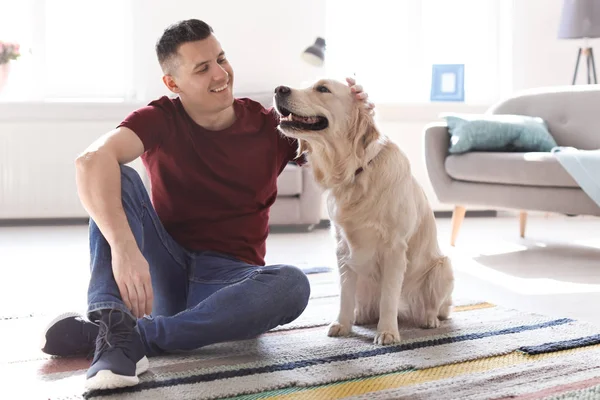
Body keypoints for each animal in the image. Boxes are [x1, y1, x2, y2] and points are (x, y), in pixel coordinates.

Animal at [274, 79, 454, 346]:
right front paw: (342, 324)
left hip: (442, 267)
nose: (279, 89)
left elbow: (389, 296)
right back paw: (360, 316)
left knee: (435, 307)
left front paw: (387, 331)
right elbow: (345, 294)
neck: (354, 172)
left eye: (323, 89)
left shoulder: (394, 248)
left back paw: (428, 319)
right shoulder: (342, 249)